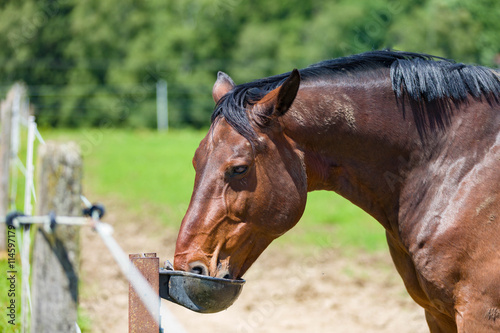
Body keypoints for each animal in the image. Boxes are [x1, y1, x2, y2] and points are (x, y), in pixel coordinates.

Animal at [173, 50, 500, 330]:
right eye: (195, 161)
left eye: (239, 168)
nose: (188, 266)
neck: (459, 164)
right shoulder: (437, 314)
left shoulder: (480, 312)